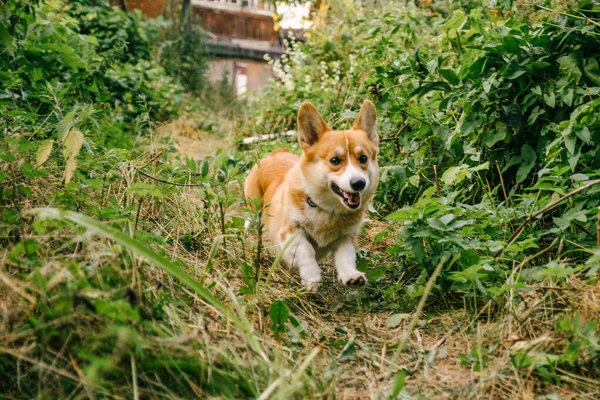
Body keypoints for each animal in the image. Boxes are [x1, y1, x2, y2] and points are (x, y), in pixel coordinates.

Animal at [245, 100, 380, 290]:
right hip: (254, 207)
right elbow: (306, 250)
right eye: (335, 160)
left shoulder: (346, 237)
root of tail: (276, 152)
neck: (327, 209)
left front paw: (351, 276)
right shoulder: (290, 231)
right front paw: (312, 277)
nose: (359, 183)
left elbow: (345, 258)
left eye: (363, 158)